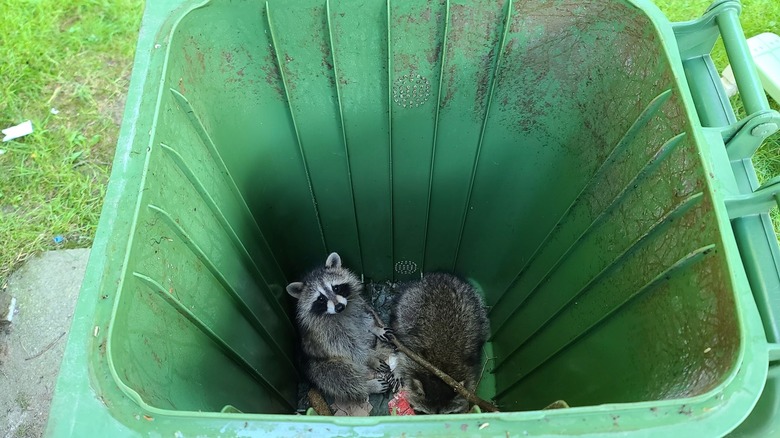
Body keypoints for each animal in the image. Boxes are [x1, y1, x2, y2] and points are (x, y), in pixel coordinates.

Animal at [286, 252, 394, 402]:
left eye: (336, 288)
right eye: (321, 298)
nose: (339, 307)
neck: (341, 313)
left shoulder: (356, 308)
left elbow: (362, 319)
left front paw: (375, 328)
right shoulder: (324, 333)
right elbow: (348, 348)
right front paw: (370, 359)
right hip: (315, 366)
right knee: (338, 377)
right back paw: (368, 386)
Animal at [390, 274, 488, 414]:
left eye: (449, 414)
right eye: (424, 413)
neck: (439, 371)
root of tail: (440, 276)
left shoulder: (469, 367)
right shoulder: (411, 356)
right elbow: (402, 360)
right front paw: (398, 372)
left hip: (476, 307)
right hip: (408, 302)